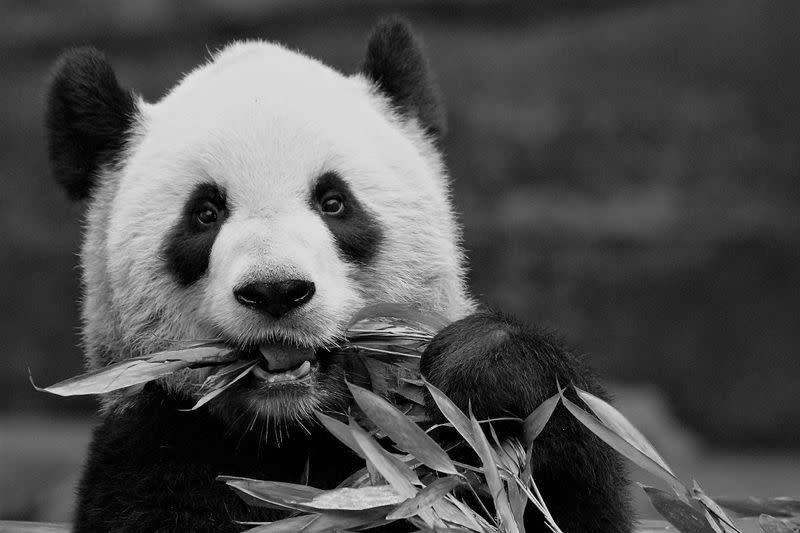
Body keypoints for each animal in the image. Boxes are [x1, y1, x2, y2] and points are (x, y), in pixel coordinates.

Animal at [45, 16, 632, 532]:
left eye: (334, 202)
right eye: (205, 213)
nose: (276, 291)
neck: (299, 431)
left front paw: (486, 368)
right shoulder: (155, 443)